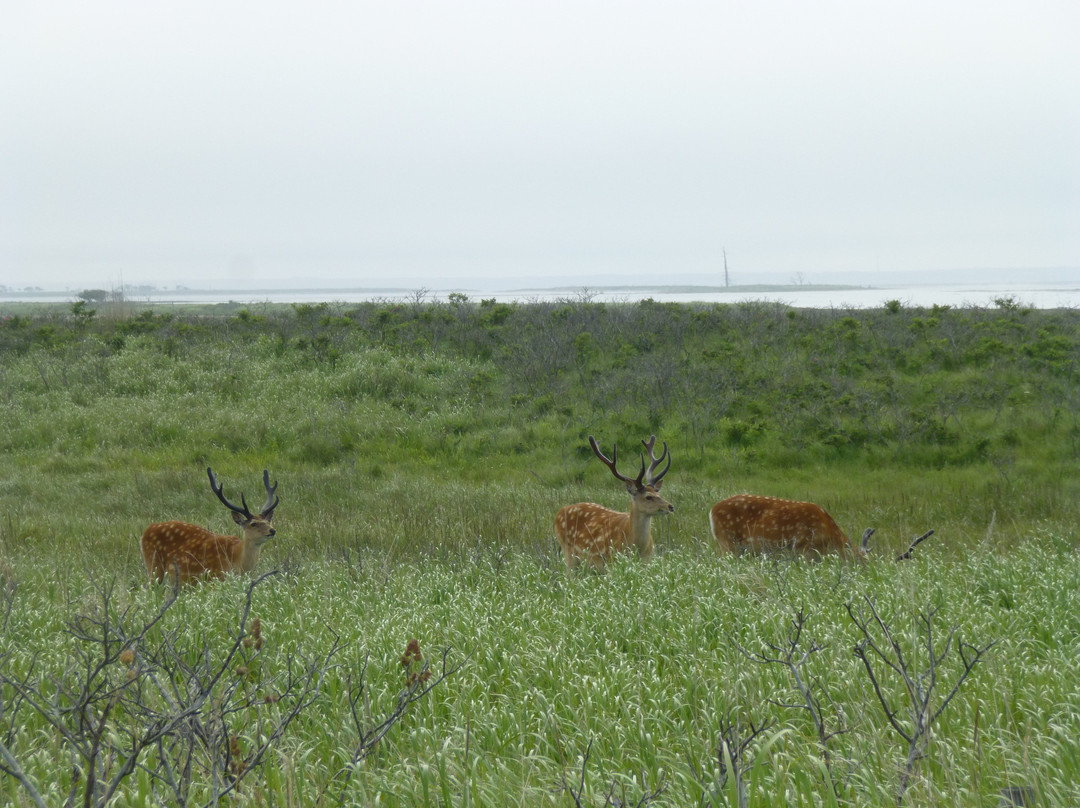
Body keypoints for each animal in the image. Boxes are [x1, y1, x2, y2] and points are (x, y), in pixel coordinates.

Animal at [141, 466, 280, 587]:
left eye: (268, 521)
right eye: (253, 524)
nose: (272, 530)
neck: (237, 560)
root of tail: (146, 530)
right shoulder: (216, 576)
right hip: (154, 565)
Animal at [557, 432, 673, 570]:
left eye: (659, 493)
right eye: (648, 497)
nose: (670, 506)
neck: (637, 547)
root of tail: (559, 513)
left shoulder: (647, 561)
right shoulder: (613, 560)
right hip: (568, 552)